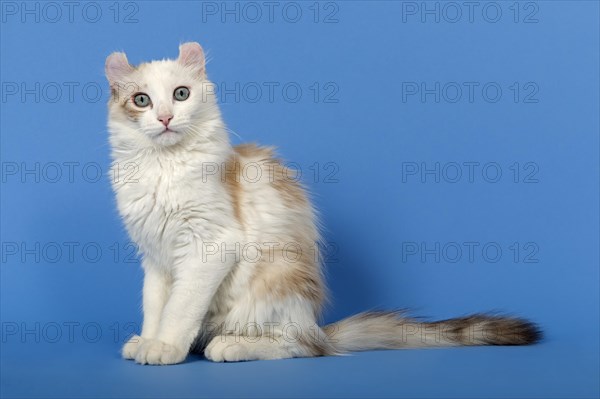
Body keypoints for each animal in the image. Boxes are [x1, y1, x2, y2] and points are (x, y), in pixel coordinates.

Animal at [105, 43, 540, 366]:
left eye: (181, 94)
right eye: (141, 100)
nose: (164, 118)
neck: (163, 168)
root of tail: (318, 325)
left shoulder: (209, 244)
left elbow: (180, 307)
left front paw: (165, 347)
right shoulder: (155, 255)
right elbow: (156, 305)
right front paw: (148, 340)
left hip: (273, 288)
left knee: (301, 347)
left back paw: (231, 345)